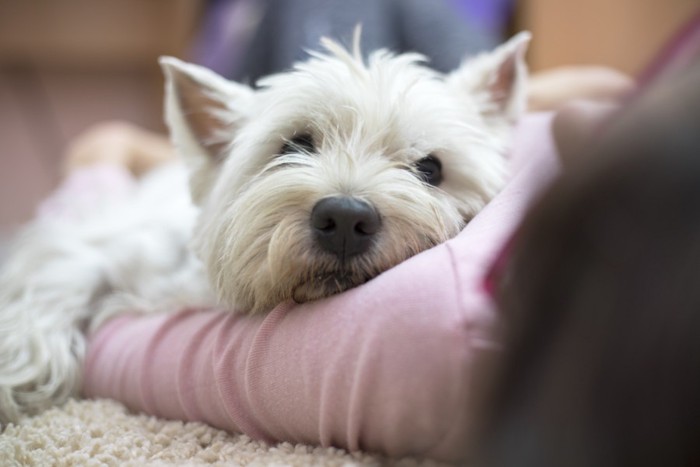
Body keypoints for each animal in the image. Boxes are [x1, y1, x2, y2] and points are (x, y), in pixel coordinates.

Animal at [0, 33, 528, 426]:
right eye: (293, 145)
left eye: (430, 168)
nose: (345, 218)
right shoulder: (99, 243)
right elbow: (59, 279)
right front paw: (22, 373)